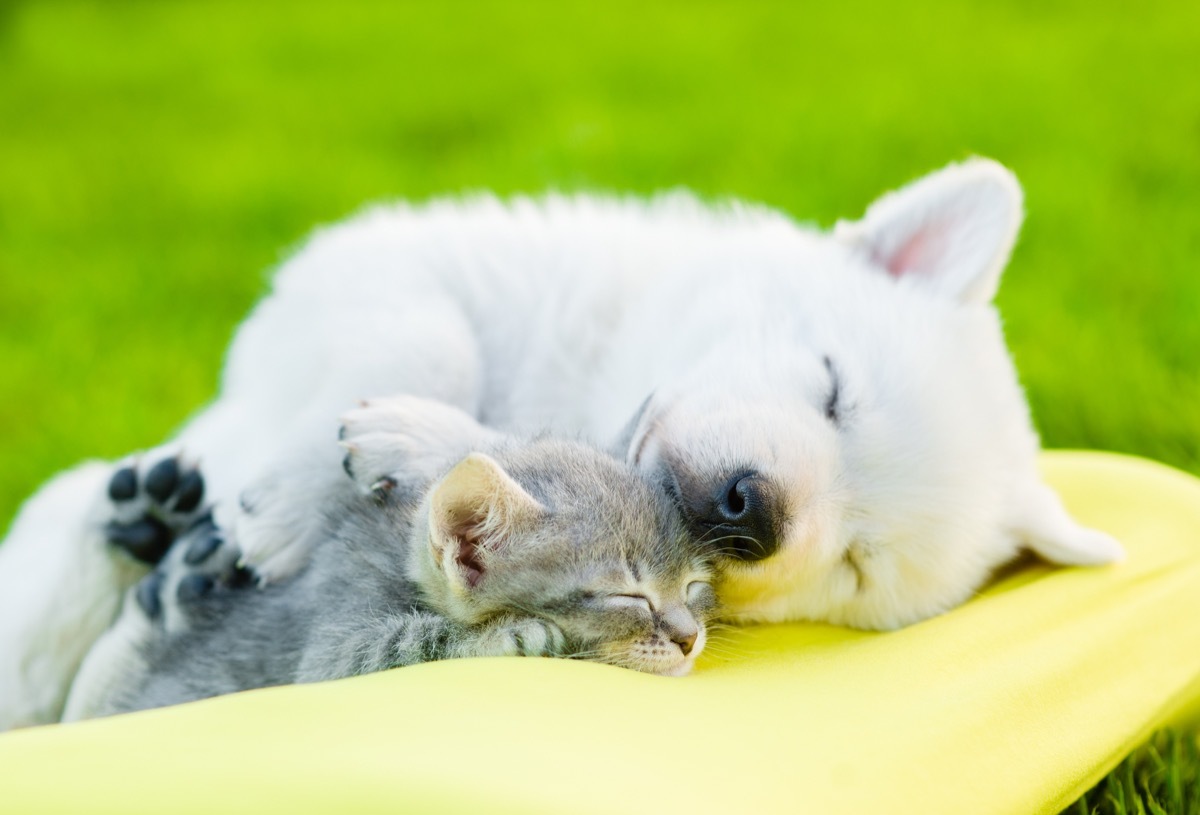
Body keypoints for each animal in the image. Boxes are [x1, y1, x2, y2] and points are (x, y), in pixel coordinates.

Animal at [75, 398, 715, 715]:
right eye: (626, 595)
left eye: (691, 586)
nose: (690, 638)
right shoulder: (330, 651)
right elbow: (408, 644)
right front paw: (508, 633)